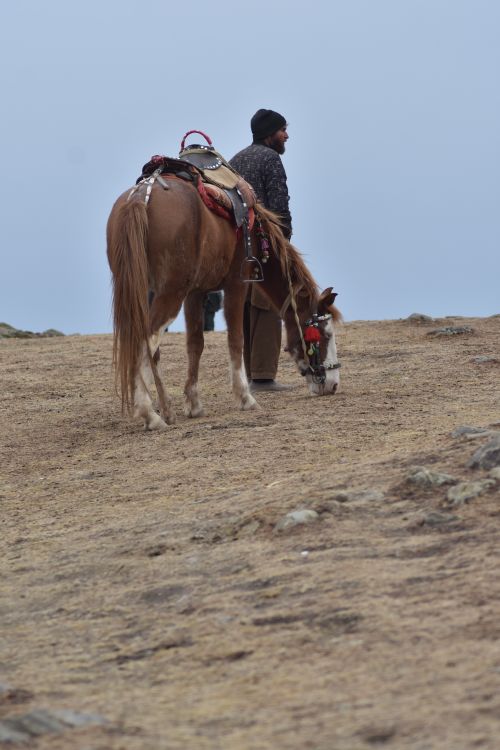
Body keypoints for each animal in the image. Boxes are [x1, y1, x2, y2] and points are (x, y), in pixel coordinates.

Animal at [106, 176, 341, 430]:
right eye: (325, 334)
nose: (333, 384)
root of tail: (142, 196)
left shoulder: (195, 293)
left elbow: (195, 344)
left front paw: (193, 403)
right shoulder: (237, 285)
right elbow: (236, 339)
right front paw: (245, 397)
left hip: (144, 291)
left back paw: (165, 407)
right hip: (171, 293)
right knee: (145, 339)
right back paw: (149, 413)